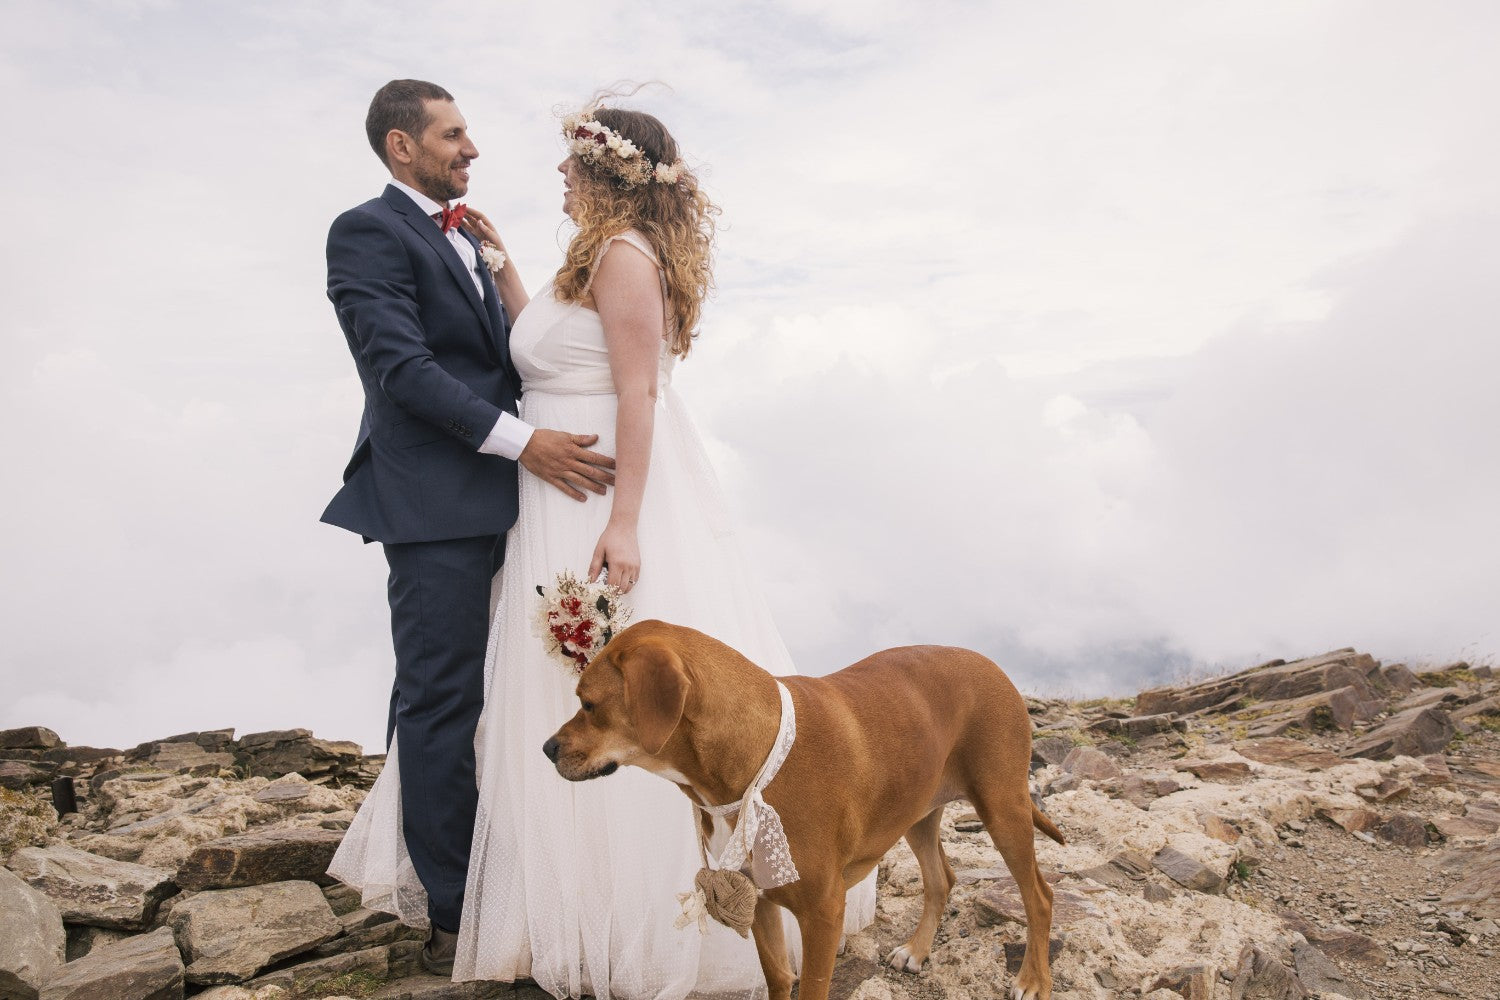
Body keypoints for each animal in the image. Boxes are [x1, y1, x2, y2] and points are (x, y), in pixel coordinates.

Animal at [546, 620, 1062, 995]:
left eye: (588, 704)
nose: (547, 748)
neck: (755, 765)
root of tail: (992, 665)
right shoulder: (755, 897)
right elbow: (778, 975)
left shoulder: (823, 913)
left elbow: (812, 985)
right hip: (916, 813)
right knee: (941, 880)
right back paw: (917, 950)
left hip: (1003, 809)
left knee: (1038, 896)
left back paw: (1033, 981)